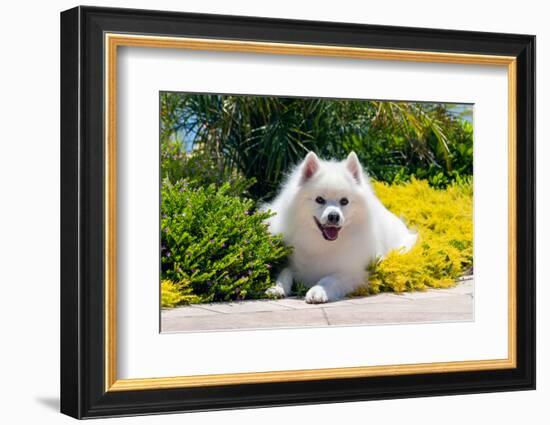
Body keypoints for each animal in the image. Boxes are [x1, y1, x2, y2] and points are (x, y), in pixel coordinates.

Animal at [266, 151, 416, 304]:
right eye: (319, 199)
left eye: (344, 201)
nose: (333, 216)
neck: (322, 244)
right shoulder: (290, 263)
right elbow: (285, 272)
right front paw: (277, 288)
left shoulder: (353, 272)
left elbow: (329, 279)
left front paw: (317, 291)